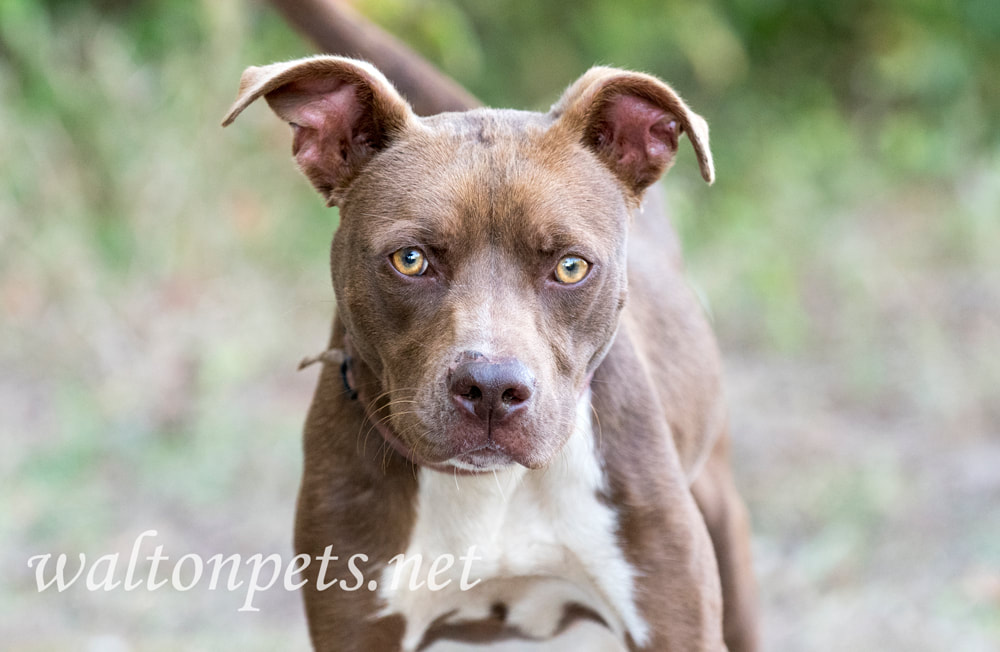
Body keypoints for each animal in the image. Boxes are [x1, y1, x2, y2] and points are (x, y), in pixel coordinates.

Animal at [225, 44, 756, 652]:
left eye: (570, 267)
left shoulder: (673, 617)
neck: (491, 487)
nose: (492, 388)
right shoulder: (357, 622)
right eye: (410, 259)